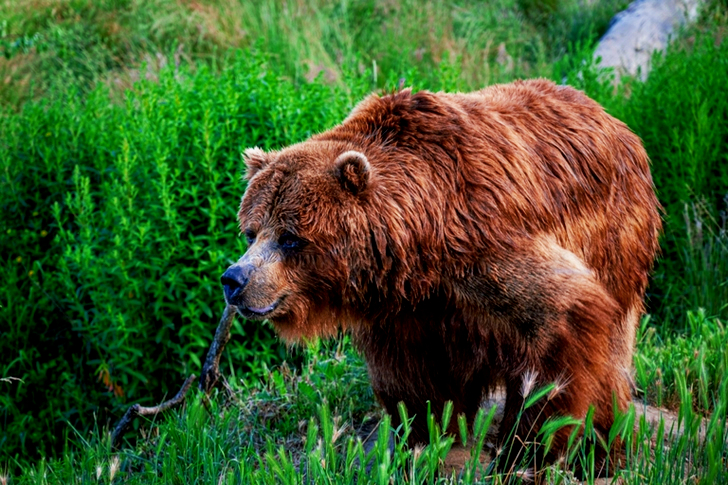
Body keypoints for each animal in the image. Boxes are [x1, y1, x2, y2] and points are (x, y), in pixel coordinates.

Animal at [221, 79, 661, 474]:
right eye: (251, 231)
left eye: (290, 237)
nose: (235, 279)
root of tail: (615, 120)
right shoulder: (409, 314)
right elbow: (418, 388)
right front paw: (426, 447)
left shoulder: (484, 243)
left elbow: (562, 321)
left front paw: (525, 451)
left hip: (616, 238)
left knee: (608, 359)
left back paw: (601, 452)